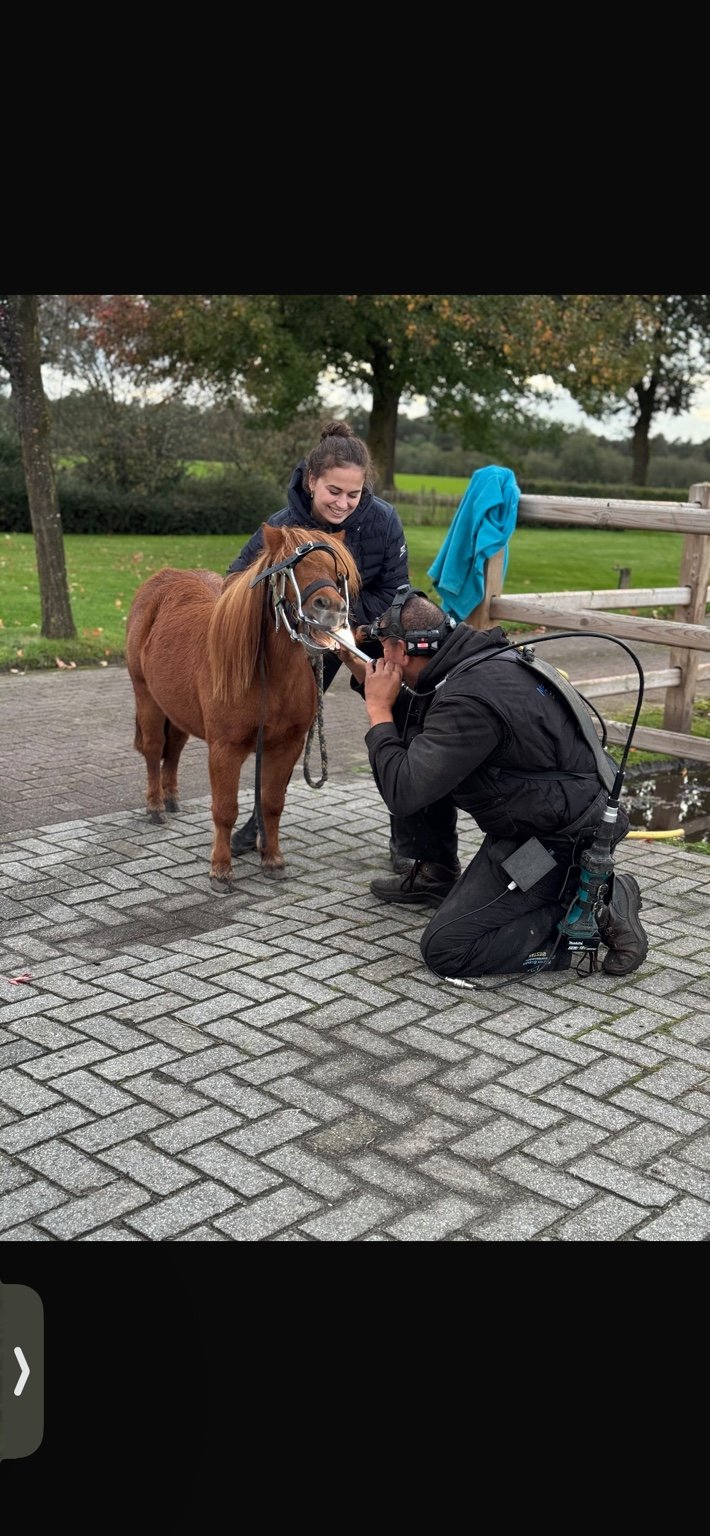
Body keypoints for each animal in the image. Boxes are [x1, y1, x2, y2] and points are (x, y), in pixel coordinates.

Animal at [125, 524, 361, 891]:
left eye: (337, 572)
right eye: (290, 566)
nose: (331, 610)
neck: (268, 676)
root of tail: (159, 581)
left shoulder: (286, 747)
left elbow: (272, 804)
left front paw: (273, 859)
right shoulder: (225, 749)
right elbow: (225, 809)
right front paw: (220, 869)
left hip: (175, 707)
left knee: (173, 749)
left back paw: (172, 798)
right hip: (146, 695)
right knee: (153, 749)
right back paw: (156, 807)